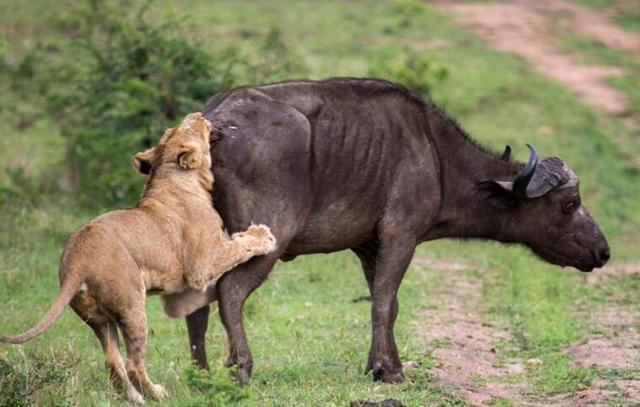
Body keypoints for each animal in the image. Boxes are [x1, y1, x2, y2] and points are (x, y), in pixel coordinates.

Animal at [0, 111, 276, 404]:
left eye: (171, 130)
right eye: (190, 127)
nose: (198, 114)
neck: (173, 177)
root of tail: (77, 260)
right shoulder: (202, 265)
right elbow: (238, 248)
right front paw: (263, 236)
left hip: (99, 319)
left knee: (113, 361)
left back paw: (136, 398)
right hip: (132, 305)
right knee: (133, 362)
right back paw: (157, 394)